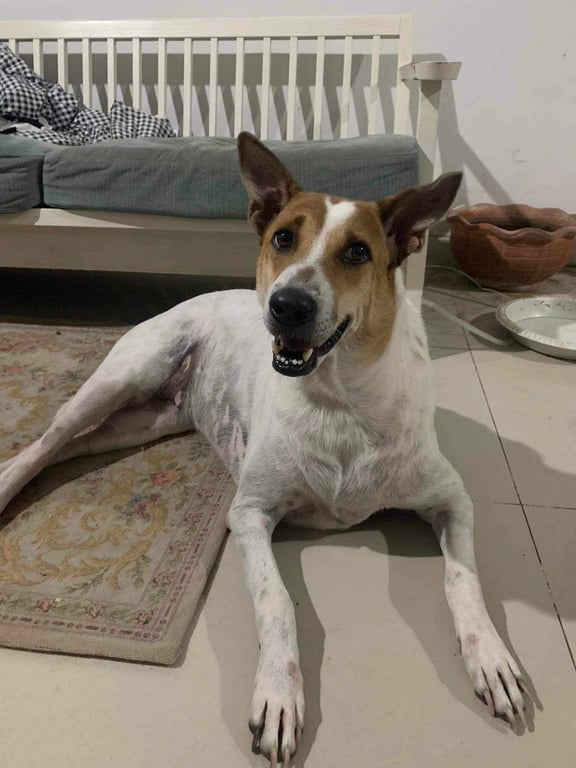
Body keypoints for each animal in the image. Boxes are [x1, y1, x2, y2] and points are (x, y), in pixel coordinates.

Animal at [0, 133, 528, 765]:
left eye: (357, 252)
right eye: (282, 238)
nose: (288, 305)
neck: (339, 401)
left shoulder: (452, 499)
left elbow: (463, 579)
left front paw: (491, 657)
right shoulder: (249, 513)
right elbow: (276, 600)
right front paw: (278, 694)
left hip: (140, 422)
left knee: (67, 450)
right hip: (125, 375)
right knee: (44, 443)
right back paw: (6, 483)